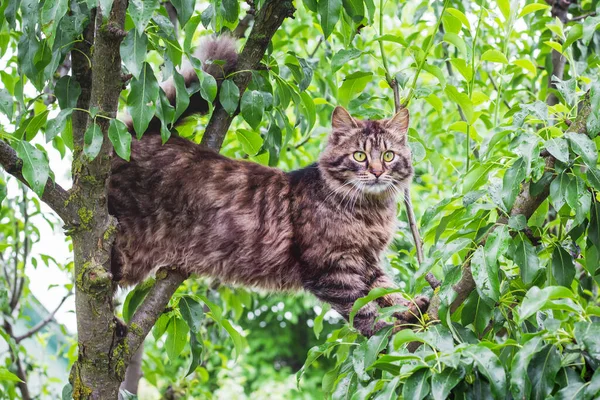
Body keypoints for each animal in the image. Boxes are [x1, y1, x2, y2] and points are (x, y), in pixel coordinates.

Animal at [108, 35, 426, 338]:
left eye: (388, 156)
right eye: (360, 156)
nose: (377, 172)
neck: (370, 211)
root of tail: (134, 135)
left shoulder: (367, 263)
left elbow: (388, 290)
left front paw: (412, 310)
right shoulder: (333, 268)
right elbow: (364, 308)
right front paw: (387, 331)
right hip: (121, 246)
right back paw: (115, 327)